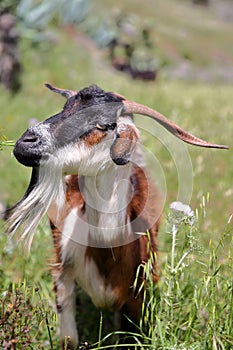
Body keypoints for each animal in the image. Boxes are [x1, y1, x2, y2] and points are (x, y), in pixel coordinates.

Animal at [6, 83, 228, 348]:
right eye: (65, 108)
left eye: (104, 124)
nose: (26, 142)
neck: (106, 249)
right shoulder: (63, 274)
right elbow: (69, 338)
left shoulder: (138, 295)